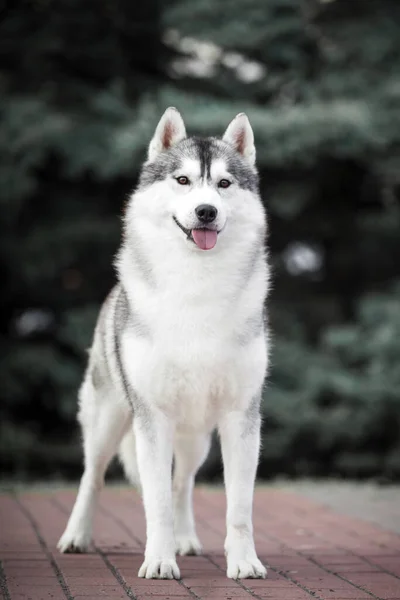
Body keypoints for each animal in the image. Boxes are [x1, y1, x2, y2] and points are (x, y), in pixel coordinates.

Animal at [57, 105, 270, 580]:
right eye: (183, 180)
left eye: (224, 184)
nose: (206, 211)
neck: (196, 285)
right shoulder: (151, 418)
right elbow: (154, 503)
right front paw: (158, 561)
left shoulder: (240, 417)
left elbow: (240, 507)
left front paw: (244, 563)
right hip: (109, 419)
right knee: (92, 476)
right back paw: (76, 537)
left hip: (195, 438)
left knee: (182, 483)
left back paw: (186, 540)